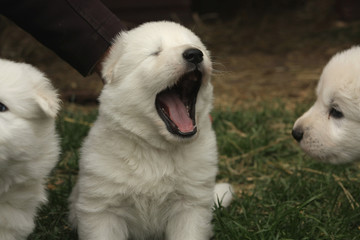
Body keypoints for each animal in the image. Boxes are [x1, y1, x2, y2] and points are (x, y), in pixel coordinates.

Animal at [69, 21, 233, 239]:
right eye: (155, 52)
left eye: (198, 47)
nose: (195, 54)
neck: (157, 150)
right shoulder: (103, 210)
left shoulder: (191, 206)